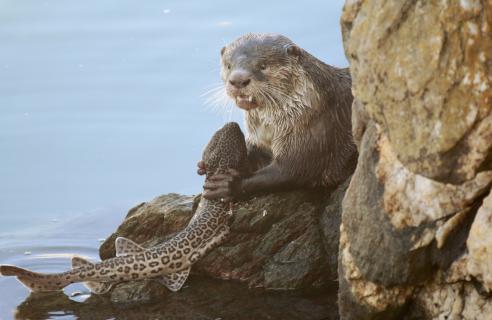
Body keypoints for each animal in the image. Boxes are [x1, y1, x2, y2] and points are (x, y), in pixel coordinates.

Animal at [200, 33, 358, 202]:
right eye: (229, 65)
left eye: (263, 66)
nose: (238, 80)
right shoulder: (259, 140)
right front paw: (203, 164)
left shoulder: (315, 132)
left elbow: (292, 171)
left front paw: (230, 186)